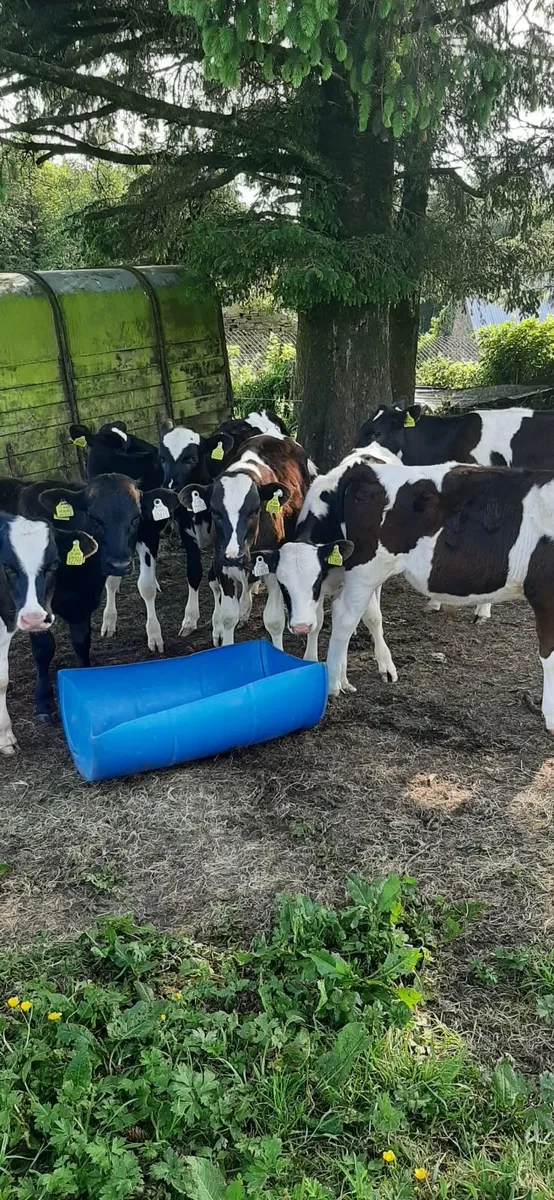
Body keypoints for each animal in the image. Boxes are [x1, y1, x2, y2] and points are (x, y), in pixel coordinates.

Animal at [0, 473, 178, 723]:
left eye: (136, 517)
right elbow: (44, 649)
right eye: (94, 518)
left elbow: (81, 642)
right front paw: (44, 702)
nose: (119, 564)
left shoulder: (83, 602)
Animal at [68, 420, 170, 652]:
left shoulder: (148, 533)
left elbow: (145, 585)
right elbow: (111, 581)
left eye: (126, 445)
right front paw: (109, 621)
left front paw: (154, 633)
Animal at [179, 435, 311, 649]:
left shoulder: (272, 567)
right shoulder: (222, 565)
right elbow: (228, 617)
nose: (235, 556)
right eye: (215, 512)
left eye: (255, 511)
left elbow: (274, 620)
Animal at [260, 456, 554, 734]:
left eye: (315, 580)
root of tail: (362, 470)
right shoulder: (545, 596)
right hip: (367, 567)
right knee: (345, 617)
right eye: (283, 585)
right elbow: (549, 655)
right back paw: (333, 683)